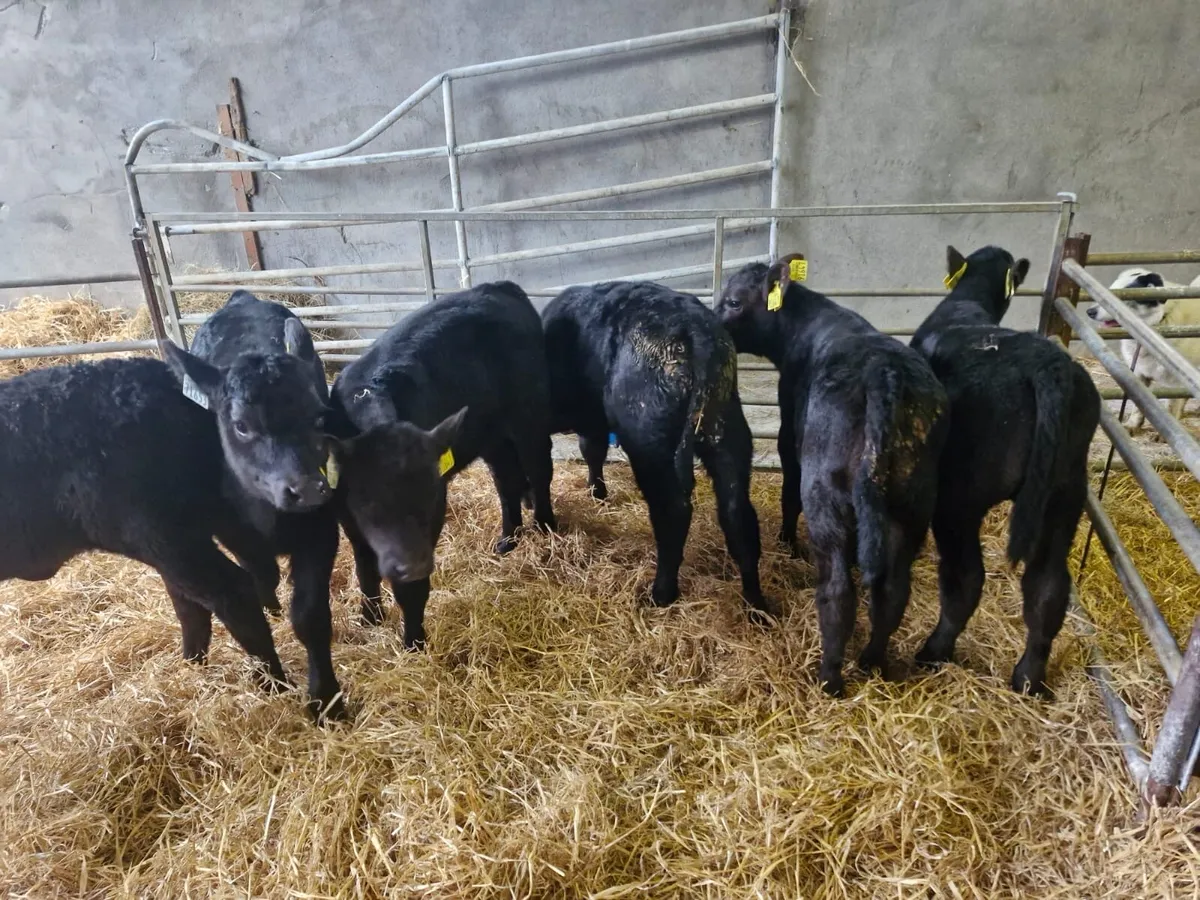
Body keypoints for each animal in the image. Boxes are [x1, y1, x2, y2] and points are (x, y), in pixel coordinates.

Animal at [163, 289, 344, 721]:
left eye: (318, 418)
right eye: (242, 426)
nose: (306, 489)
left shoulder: (321, 531)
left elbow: (310, 616)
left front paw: (325, 698)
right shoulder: (228, 530)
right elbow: (256, 579)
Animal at [328, 281, 556, 650]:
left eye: (432, 499)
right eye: (368, 505)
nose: (411, 564)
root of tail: (498, 287)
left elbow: (411, 590)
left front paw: (413, 641)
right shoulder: (347, 516)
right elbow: (364, 566)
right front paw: (369, 616)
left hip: (529, 415)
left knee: (538, 469)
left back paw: (547, 527)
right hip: (490, 435)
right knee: (506, 482)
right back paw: (508, 539)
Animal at [541, 281, 777, 622]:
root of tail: (695, 328)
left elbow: (587, 450)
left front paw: (595, 492)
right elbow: (593, 452)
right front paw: (597, 492)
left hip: (649, 444)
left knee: (673, 511)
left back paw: (661, 593)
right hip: (728, 433)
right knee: (738, 515)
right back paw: (756, 604)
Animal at [716, 255, 949, 696]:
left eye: (734, 301)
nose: (713, 321)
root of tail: (884, 374)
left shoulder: (789, 435)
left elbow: (788, 493)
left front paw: (787, 543)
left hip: (826, 496)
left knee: (839, 592)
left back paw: (830, 678)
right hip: (913, 505)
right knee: (892, 592)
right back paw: (872, 661)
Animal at [911, 245, 1100, 698]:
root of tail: (1045, 361)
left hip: (960, 499)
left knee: (966, 579)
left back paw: (933, 651)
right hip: (1065, 493)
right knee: (1047, 587)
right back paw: (1029, 678)